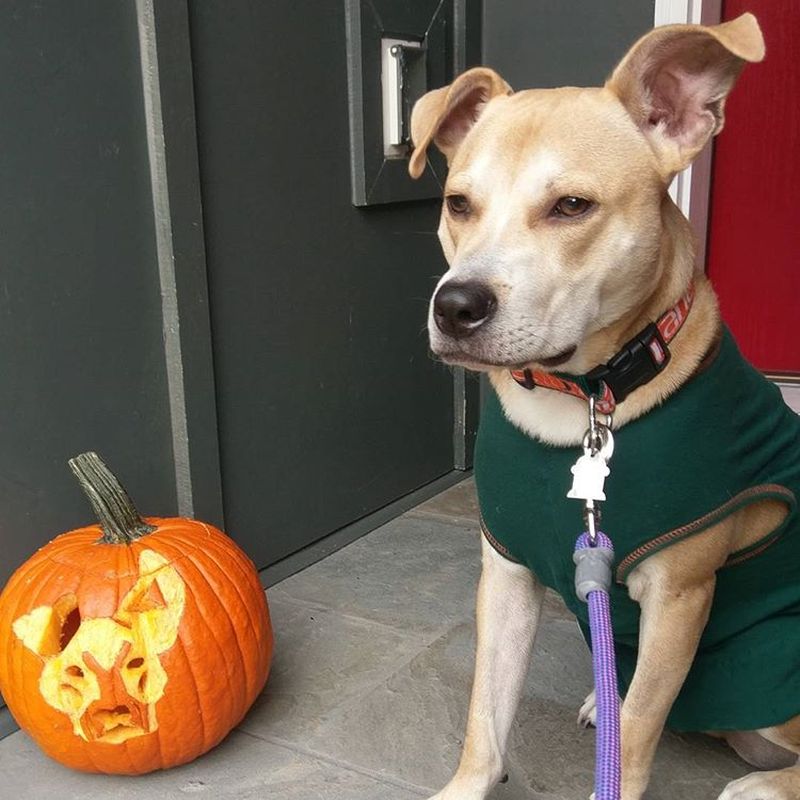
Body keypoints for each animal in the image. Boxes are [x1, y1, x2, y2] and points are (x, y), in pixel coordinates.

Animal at [406, 12, 800, 800]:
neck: (581, 402)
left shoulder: (680, 595)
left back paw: (763, 784)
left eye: (571, 206)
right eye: (458, 203)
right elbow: (485, 713)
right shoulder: (506, 573)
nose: (455, 306)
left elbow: (642, 725)